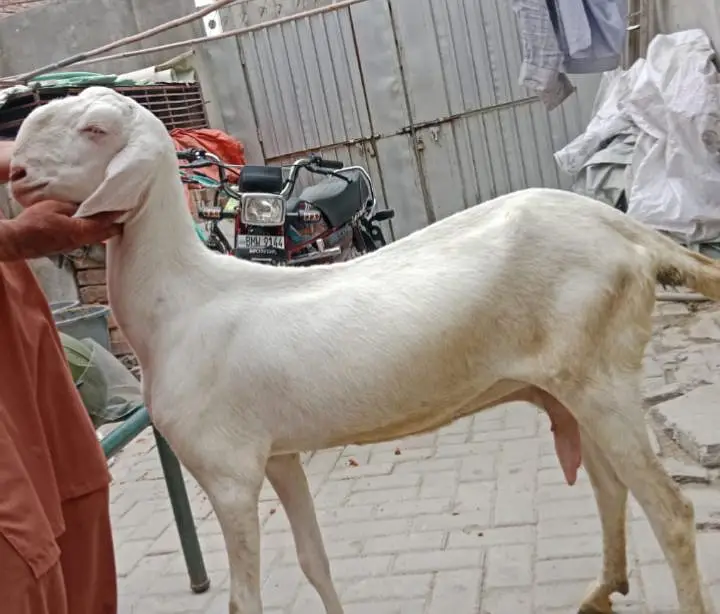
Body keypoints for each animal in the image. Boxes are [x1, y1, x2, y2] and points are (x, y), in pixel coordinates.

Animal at [10, 86, 719, 614]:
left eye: (95, 129)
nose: (14, 172)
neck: (182, 302)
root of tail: (627, 230)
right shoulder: (278, 454)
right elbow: (315, 562)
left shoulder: (227, 473)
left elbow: (244, 600)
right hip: (570, 382)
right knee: (609, 486)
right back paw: (602, 589)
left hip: (600, 378)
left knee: (672, 512)